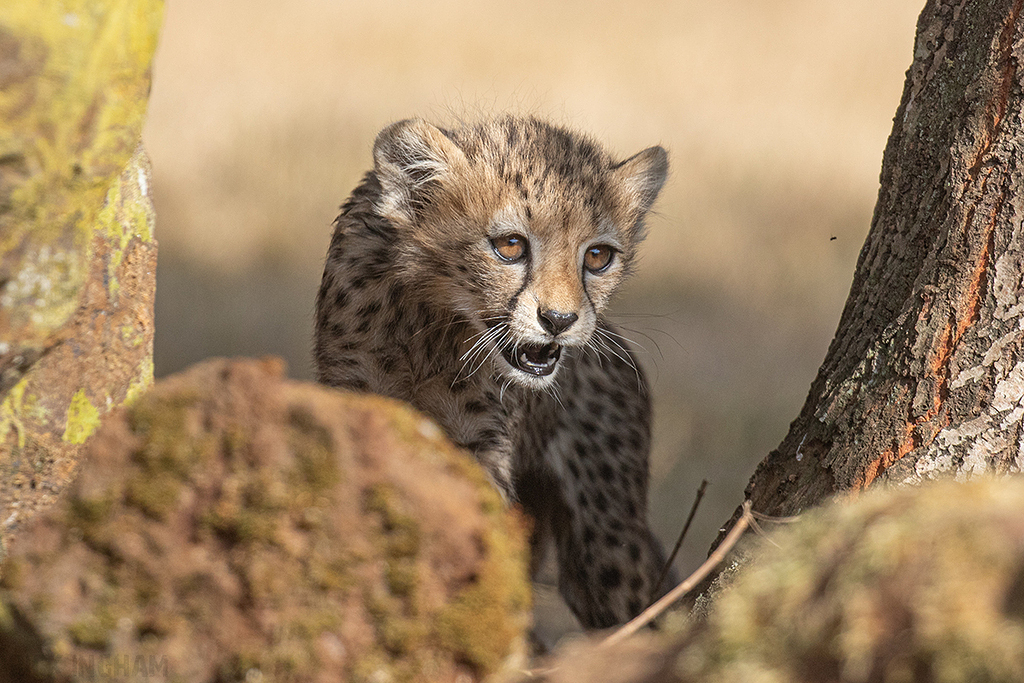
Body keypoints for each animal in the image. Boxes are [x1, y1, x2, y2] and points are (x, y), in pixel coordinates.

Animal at [314, 115, 671, 629]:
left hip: (605, 538)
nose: (559, 320)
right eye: (510, 246)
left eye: (598, 256)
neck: (432, 326)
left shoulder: (482, 443)